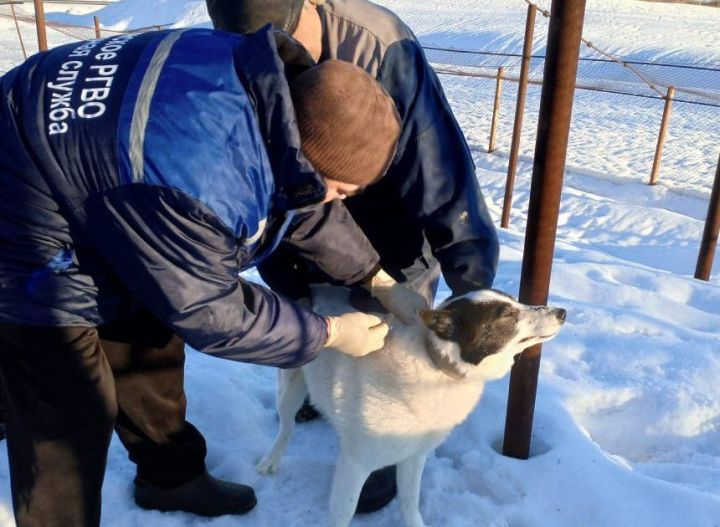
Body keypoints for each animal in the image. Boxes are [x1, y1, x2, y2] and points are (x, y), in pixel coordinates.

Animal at [256, 286, 564, 524]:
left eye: (516, 301)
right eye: (507, 315)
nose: (561, 312)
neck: (435, 364)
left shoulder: (414, 457)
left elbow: (409, 502)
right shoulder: (355, 464)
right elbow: (344, 512)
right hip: (290, 388)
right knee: (286, 427)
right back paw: (270, 460)